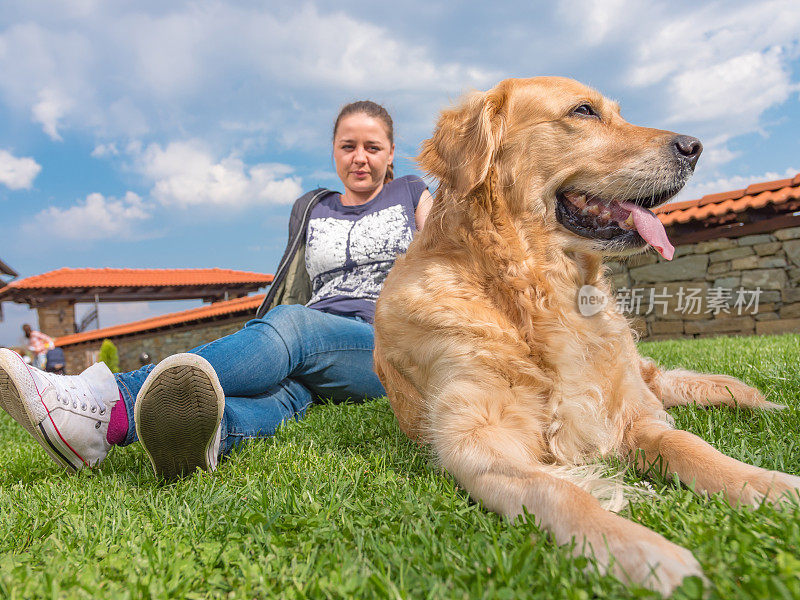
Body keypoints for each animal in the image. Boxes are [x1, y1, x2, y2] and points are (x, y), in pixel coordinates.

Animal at [376, 78, 800, 596]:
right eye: (583, 111)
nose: (695, 147)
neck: (539, 294)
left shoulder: (630, 415)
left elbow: (688, 445)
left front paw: (767, 484)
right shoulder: (476, 438)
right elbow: (558, 488)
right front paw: (644, 552)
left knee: (669, 383)